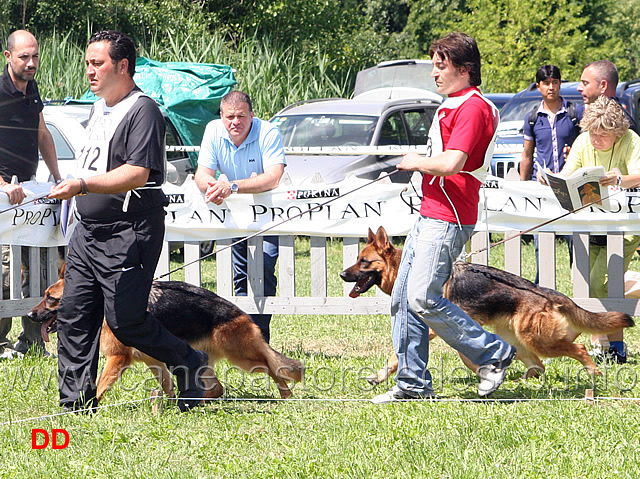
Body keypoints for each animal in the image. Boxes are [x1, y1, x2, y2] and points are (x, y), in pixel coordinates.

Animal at [26, 266, 302, 404]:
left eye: (50, 299)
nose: (29, 314)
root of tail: (240, 312)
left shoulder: (118, 358)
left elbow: (101, 385)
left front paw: (87, 407)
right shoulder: (154, 361)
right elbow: (167, 386)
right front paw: (167, 404)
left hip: (243, 357)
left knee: (272, 366)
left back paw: (286, 395)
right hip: (202, 359)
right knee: (218, 387)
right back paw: (197, 400)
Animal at [342, 226, 632, 386]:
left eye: (364, 262)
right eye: (357, 259)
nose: (342, 275)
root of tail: (543, 291)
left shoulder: (437, 329)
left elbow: (397, 355)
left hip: (538, 340)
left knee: (577, 349)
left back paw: (593, 373)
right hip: (518, 340)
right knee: (539, 366)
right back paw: (525, 381)